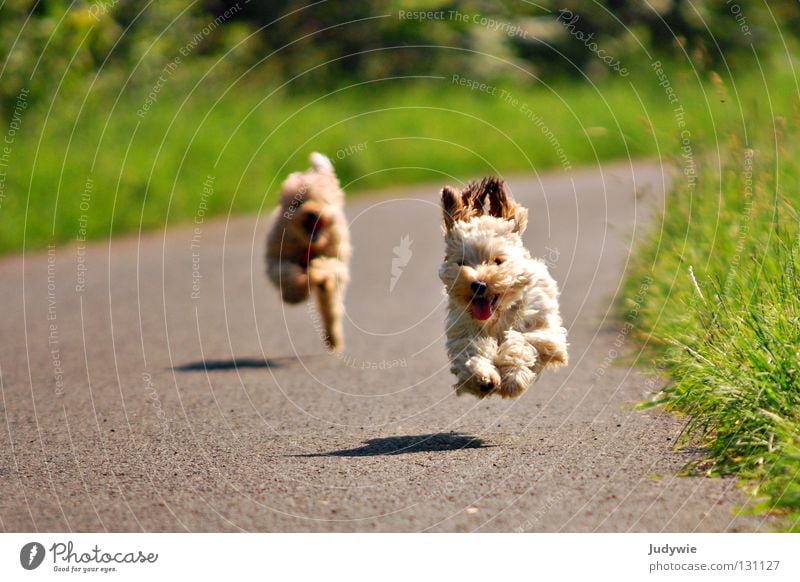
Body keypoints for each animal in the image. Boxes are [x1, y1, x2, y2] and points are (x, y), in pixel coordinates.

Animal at [266, 153, 350, 352]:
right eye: (297, 203)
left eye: (324, 201)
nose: (312, 214)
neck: (309, 245)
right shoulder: (276, 258)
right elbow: (285, 272)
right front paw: (297, 292)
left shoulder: (337, 259)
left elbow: (330, 267)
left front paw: (318, 272)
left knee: (331, 309)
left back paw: (333, 338)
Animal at [438, 177, 568, 396]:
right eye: (461, 262)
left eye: (498, 261)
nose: (478, 284)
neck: (497, 318)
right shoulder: (462, 330)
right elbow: (471, 349)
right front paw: (483, 377)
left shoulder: (548, 335)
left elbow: (524, 340)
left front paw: (512, 376)